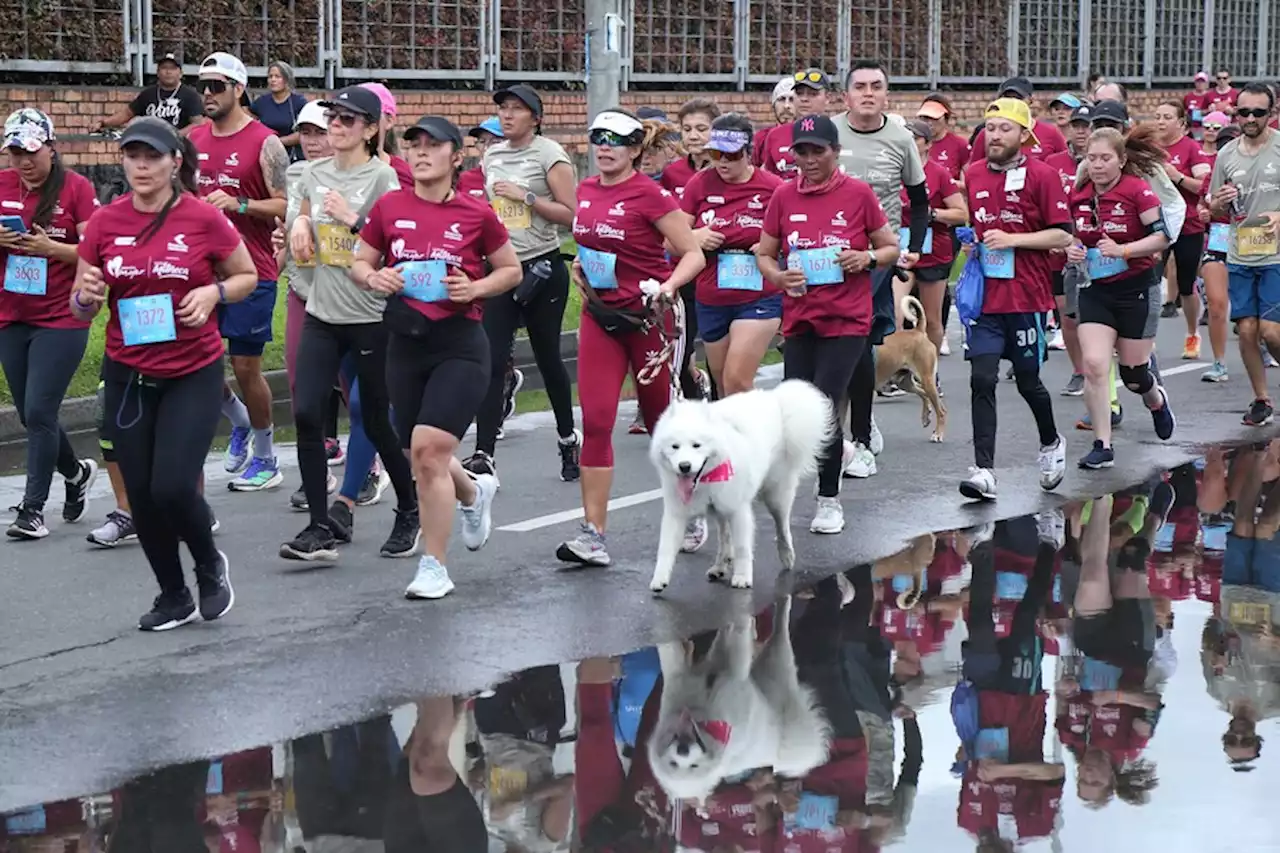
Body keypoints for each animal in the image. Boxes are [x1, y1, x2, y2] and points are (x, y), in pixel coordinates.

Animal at [645, 379, 834, 591]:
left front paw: (743, 577)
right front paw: (659, 578)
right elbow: (665, 548)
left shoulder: (738, 510)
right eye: (675, 447)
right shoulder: (677, 512)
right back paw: (720, 566)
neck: (708, 477)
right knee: (724, 538)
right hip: (721, 508)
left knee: (782, 526)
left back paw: (786, 555)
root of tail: (775, 399)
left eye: (696, 445)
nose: (684, 466)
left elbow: (743, 547)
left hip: (775, 496)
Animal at [650, 591, 829, 804]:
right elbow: (737, 639)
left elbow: (677, 650)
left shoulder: (681, 679)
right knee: (780, 632)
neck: (700, 716)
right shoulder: (737, 674)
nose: (682, 749)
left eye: (691, 766)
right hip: (777, 664)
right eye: (676, 764)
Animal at [875, 294, 947, 440]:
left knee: (941, 410)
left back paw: (937, 433)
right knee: (925, 395)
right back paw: (926, 416)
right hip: (904, 382)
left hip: (926, 379)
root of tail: (918, 331)